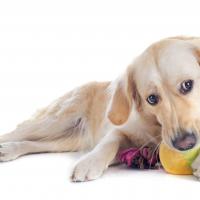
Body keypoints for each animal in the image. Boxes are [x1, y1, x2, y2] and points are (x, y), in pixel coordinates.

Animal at [0, 36, 200, 181]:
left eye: (187, 85)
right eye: (151, 99)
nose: (185, 144)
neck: (157, 129)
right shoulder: (121, 130)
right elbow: (110, 141)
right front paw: (89, 163)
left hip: (66, 140)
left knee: (38, 144)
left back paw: (10, 150)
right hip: (53, 122)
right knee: (16, 132)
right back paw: (8, 147)